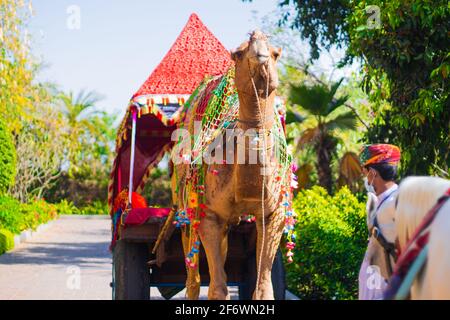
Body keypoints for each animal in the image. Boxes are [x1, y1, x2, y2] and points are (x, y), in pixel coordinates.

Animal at [171, 30, 286, 300]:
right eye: (238, 53)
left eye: (276, 53)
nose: (259, 47)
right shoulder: (208, 213)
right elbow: (217, 287)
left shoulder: (274, 214)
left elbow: (263, 286)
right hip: (186, 206)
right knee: (193, 277)